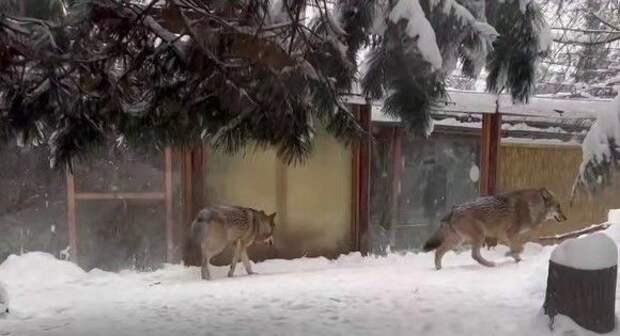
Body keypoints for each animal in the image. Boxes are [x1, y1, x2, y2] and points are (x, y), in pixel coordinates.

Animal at [424, 189, 564, 270]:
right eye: (558, 206)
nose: (565, 218)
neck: (532, 206)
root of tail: (454, 208)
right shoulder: (509, 234)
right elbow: (520, 248)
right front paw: (509, 255)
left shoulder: (505, 236)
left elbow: (517, 249)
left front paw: (517, 260)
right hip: (479, 236)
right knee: (474, 255)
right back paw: (490, 264)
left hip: (458, 240)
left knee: (439, 252)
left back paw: (439, 269)